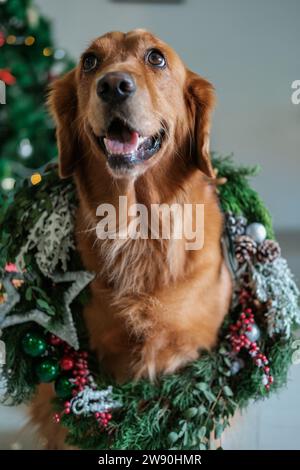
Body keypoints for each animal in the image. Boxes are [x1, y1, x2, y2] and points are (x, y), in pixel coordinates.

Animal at [30, 28, 232, 448]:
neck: (139, 229)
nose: (113, 85)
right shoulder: (108, 350)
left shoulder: (191, 346)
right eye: (89, 62)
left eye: (156, 58)